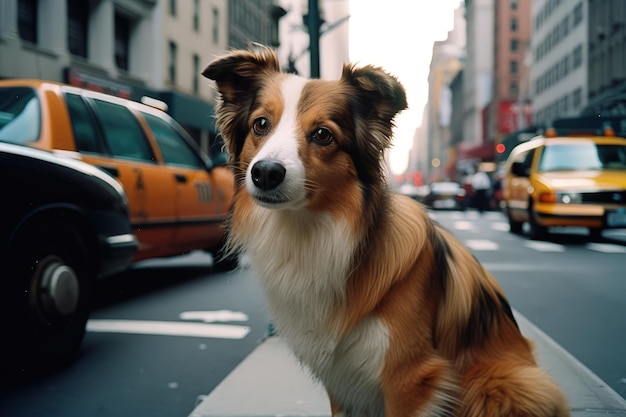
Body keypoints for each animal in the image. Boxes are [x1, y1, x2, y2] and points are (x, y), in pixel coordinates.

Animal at [202, 46, 568, 416]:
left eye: (322, 134)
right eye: (260, 124)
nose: (265, 173)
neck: (312, 229)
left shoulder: (409, 378)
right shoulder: (340, 379)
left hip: (505, 383)